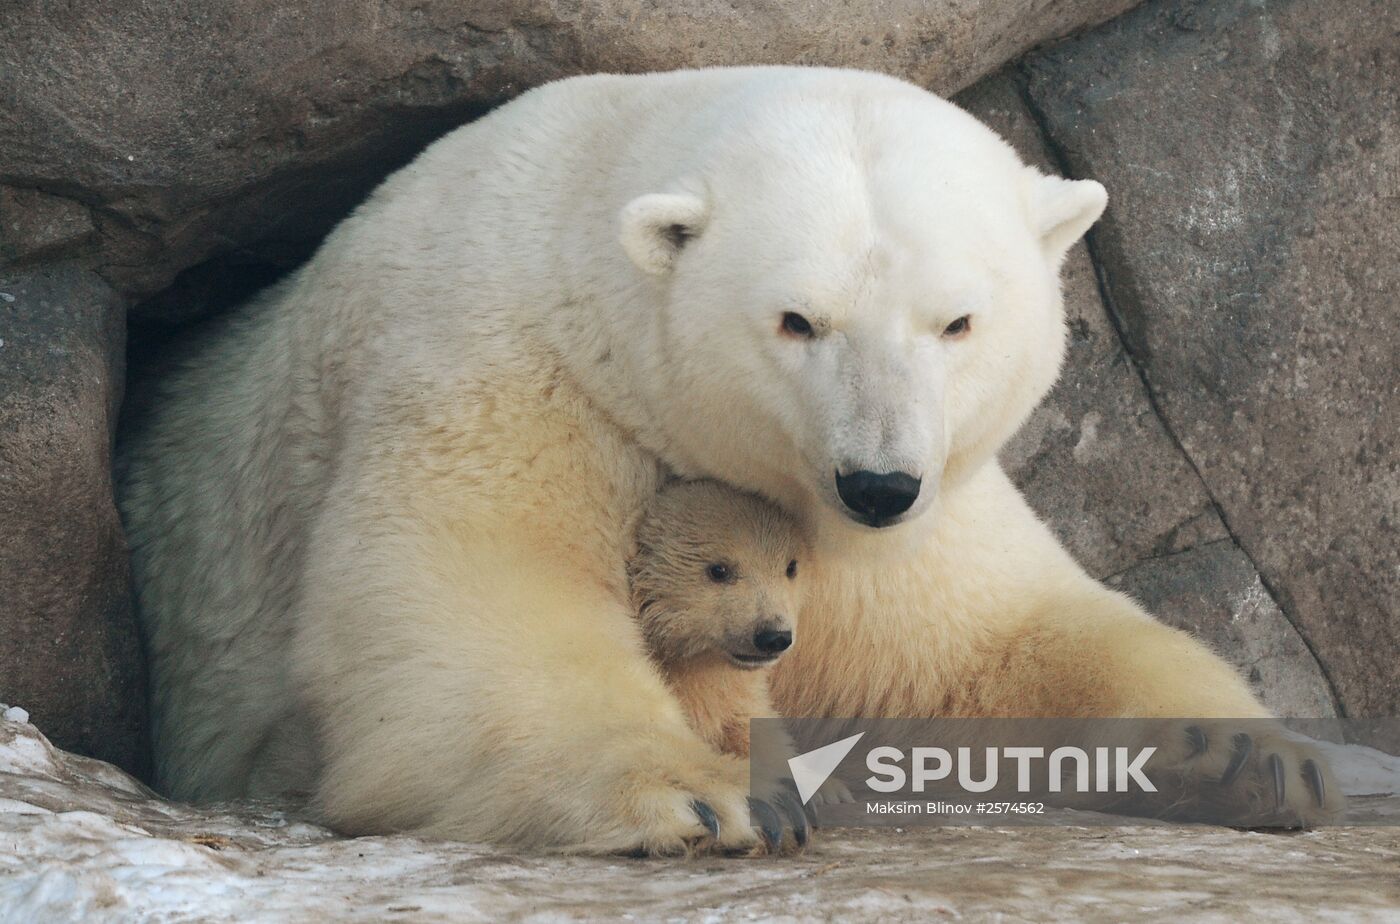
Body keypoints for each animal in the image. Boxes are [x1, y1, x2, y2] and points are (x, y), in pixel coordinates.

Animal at [117, 66, 1338, 855]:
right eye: (797, 321)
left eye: (956, 322)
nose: (877, 485)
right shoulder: (502, 370)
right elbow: (475, 591)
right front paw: (707, 795)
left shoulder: (915, 517)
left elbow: (995, 638)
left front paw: (1254, 757)